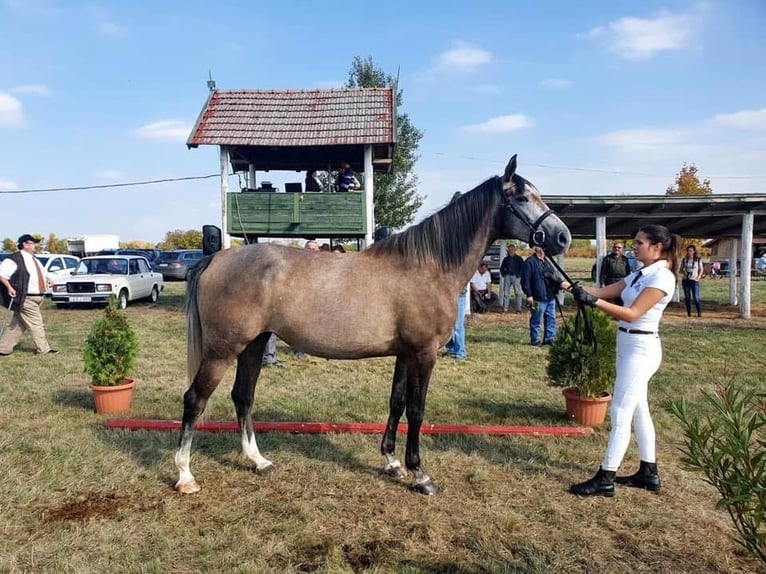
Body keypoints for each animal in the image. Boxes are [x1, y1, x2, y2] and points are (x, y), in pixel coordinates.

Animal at [174, 155, 568, 498]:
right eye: (521, 197)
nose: (562, 236)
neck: (427, 267)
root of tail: (216, 259)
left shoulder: (405, 354)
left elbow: (396, 402)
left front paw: (393, 463)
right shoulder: (424, 354)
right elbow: (417, 409)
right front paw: (420, 475)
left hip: (253, 345)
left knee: (243, 397)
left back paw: (258, 461)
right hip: (222, 351)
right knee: (195, 399)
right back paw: (185, 476)